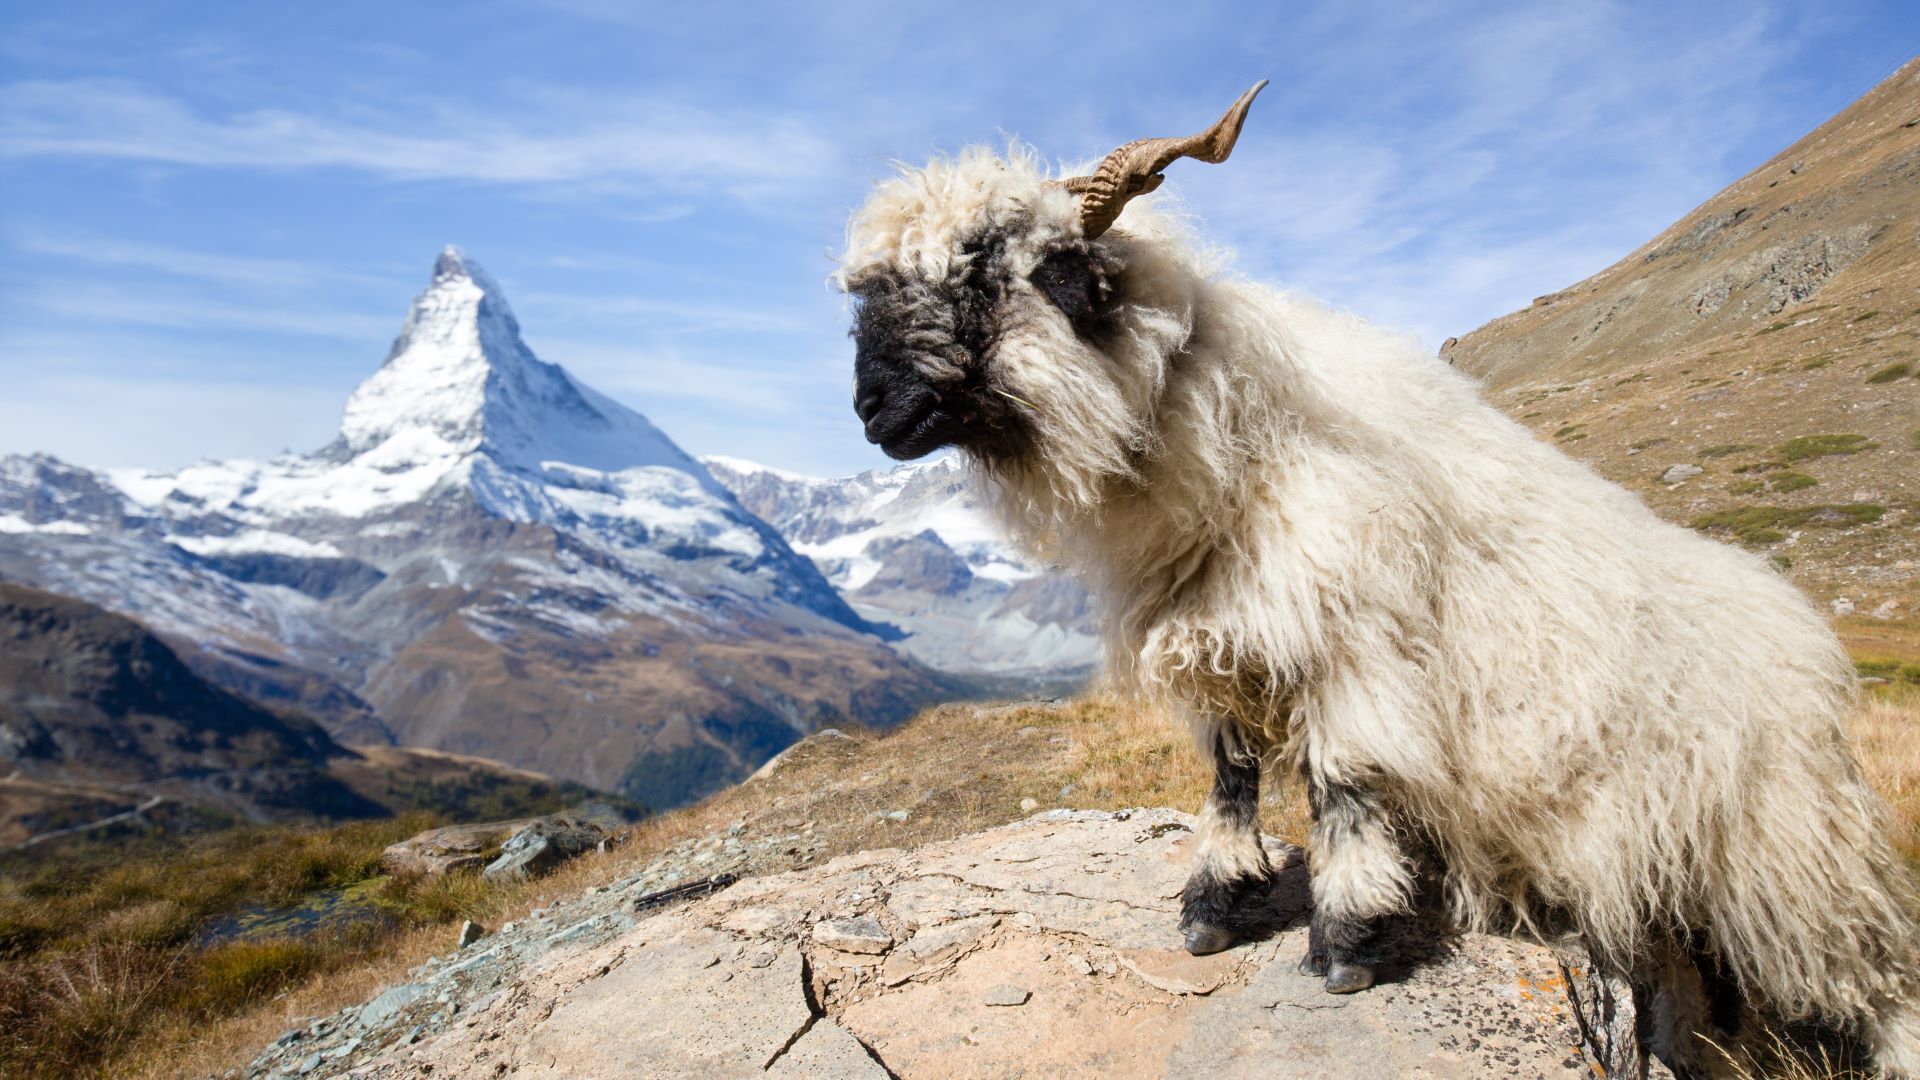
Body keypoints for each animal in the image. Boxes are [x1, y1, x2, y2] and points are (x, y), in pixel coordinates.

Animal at [835, 83, 1920, 1075]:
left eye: (982, 274)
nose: (871, 411)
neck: (1227, 448)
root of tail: (1808, 643)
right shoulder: (1225, 643)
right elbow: (1230, 782)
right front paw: (1216, 903)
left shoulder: (1356, 648)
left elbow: (1342, 787)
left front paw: (1348, 941)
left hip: (1795, 859)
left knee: (1876, 976)